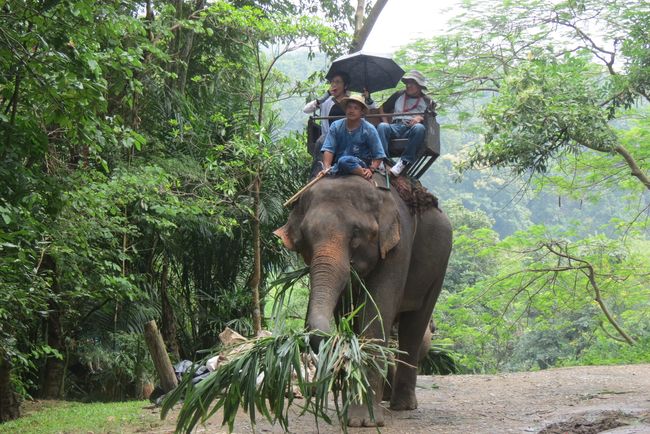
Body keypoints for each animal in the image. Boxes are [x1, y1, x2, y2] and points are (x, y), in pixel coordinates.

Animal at [274, 173, 450, 428]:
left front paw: (364, 421)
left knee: (416, 325)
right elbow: (348, 309)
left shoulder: (399, 243)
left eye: (357, 232)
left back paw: (403, 406)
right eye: (305, 236)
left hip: (440, 266)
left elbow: (379, 308)